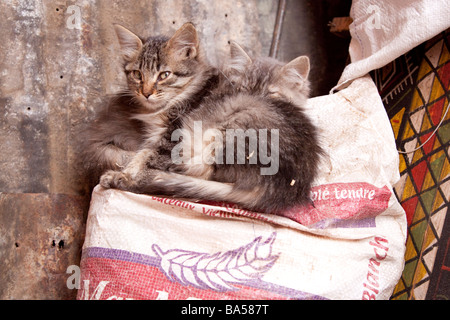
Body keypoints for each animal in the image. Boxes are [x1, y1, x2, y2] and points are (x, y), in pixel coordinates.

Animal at [99, 23, 324, 214]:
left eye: (164, 75)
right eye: (137, 74)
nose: (145, 93)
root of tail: (288, 186)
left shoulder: (171, 135)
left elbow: (145, 157)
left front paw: (126, 175)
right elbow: (140, 154)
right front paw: (124, 170)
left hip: (231, 125)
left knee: (204, 170)